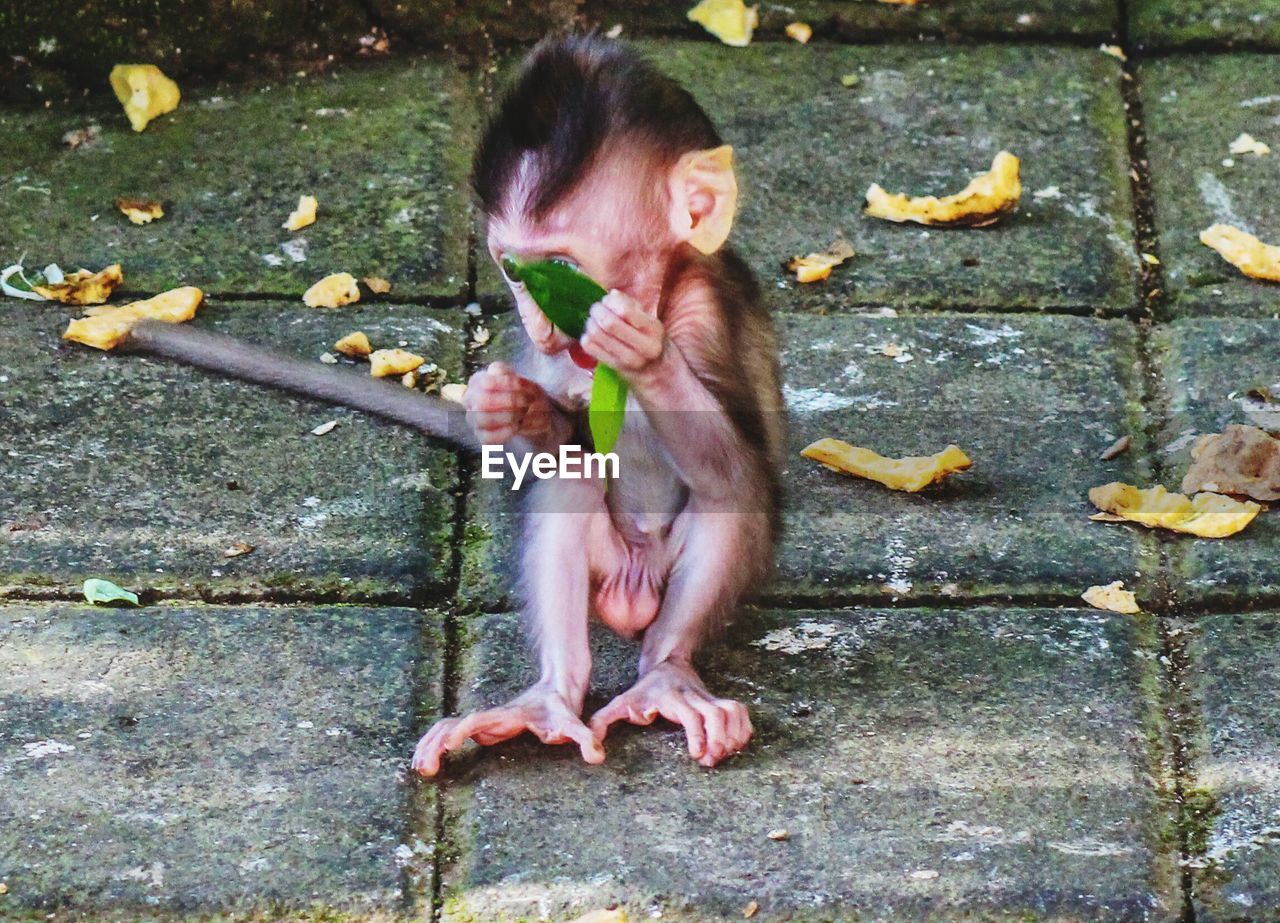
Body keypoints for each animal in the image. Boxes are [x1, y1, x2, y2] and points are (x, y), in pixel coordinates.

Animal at [414, 34, 783, 768]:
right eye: (509, 271)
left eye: (560, 272)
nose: (542, 327)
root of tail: (633, 591)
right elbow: (559, 440)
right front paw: (504, 402)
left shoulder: (704, 312)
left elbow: (735, 459)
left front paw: (644, 354)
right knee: (572, 475)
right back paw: (548, 700)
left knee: (729, 488)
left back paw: (666, 676)